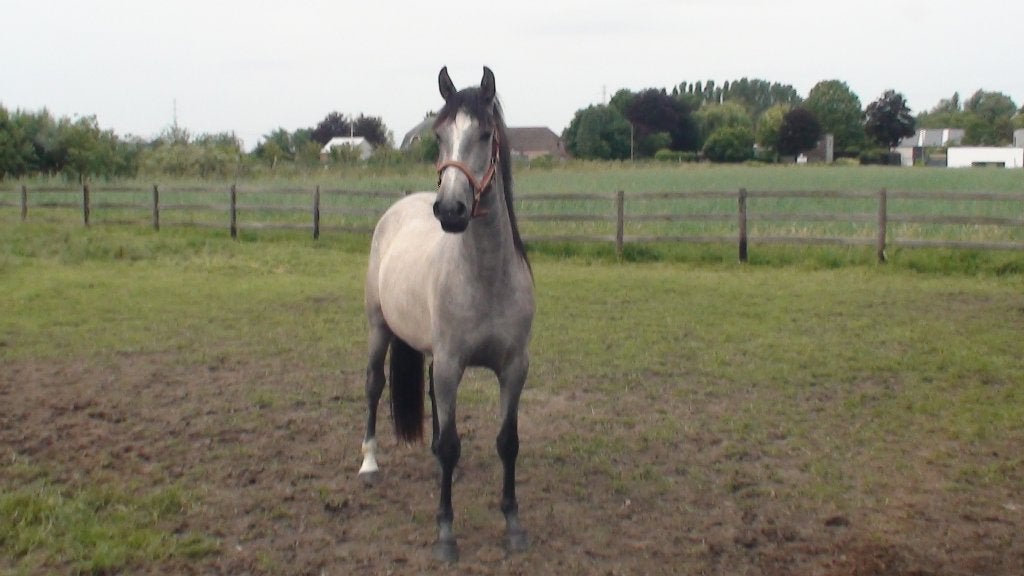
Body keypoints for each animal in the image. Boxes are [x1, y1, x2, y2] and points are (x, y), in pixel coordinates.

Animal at [359, 66, 535, 562]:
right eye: (439, 135)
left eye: (486, 133)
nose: (451, 210)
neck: (485, 278)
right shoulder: (452, 364)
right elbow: (452, 443)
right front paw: (445, 534)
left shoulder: (513, 368)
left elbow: (507, 442)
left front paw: (513, 525)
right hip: (379, 329)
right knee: (374, 384)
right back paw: (369, 462)